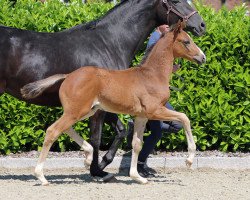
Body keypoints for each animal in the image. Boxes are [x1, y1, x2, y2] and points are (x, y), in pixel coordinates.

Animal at [0, 0, 205, 181]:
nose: (201, 25)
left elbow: (126, 134)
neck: (109, 41)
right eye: (176, 1)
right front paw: (98, 170)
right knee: (54, 130)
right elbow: (97, 138)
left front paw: (102, 166)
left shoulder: (114, 108)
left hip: (81, 109)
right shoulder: (108, 109)